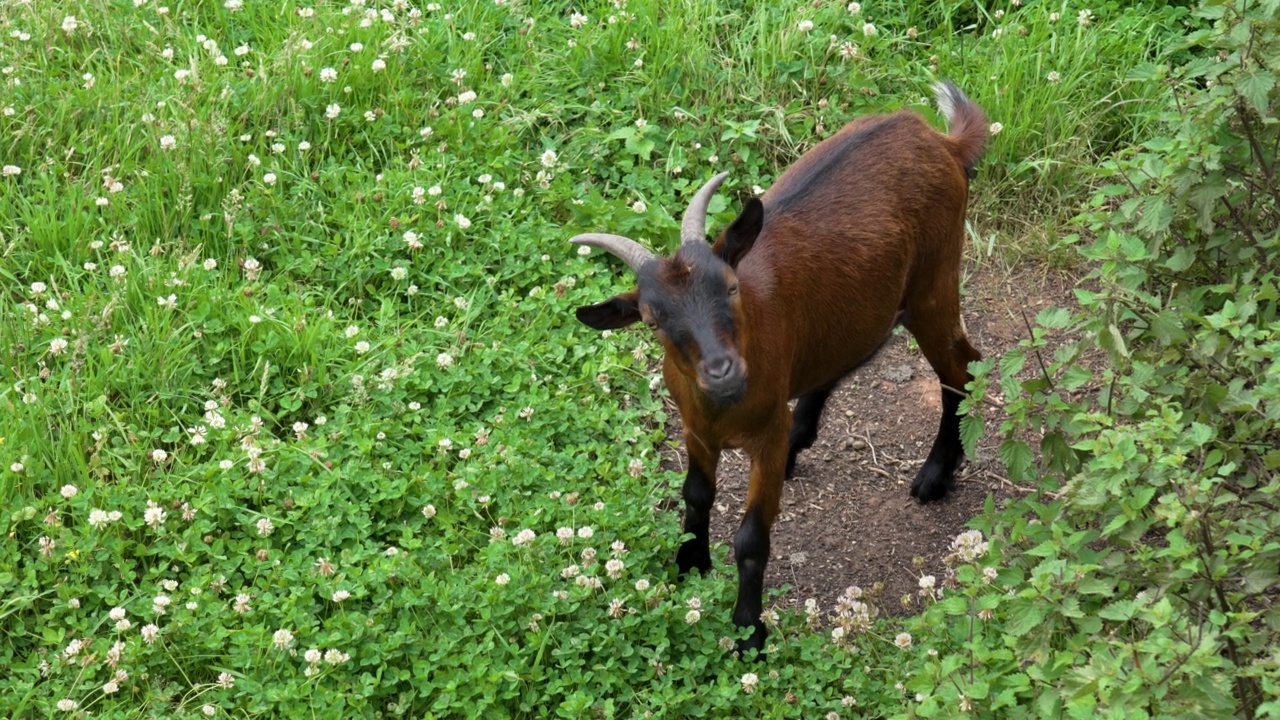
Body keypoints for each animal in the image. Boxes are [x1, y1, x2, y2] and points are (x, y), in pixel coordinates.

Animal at [573, 81, 988, 653]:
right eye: (653, 320)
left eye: (730, 286)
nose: (723, 371)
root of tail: (942, 143)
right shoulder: (695, 431)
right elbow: (696, 495)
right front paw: (689, 563)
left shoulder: (762, 441)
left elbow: (751, 538)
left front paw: (749, 630)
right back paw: (806, 437)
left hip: (935, 283)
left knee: (961, 369)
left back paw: (934, 476)